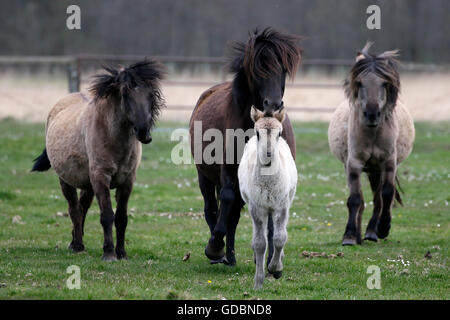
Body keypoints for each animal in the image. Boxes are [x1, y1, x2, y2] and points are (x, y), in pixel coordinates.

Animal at [188, 28, 300, 264]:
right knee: (212, 209)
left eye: (283, 69)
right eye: (258, 69)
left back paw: (231, 257)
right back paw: (219, 253)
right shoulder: (229, 170)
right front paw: (215, 246)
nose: (273, 104)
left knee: (234, 215)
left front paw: (270, 258)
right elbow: (226, 200)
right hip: (204, 175)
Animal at [237, 106, 298, 288]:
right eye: (258, 133)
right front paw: (258, 282)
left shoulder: (282, 205)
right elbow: (259, 243)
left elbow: (279, 238)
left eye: (279, 133)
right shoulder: (257, 207)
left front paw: (275, 268)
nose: (269, 154)